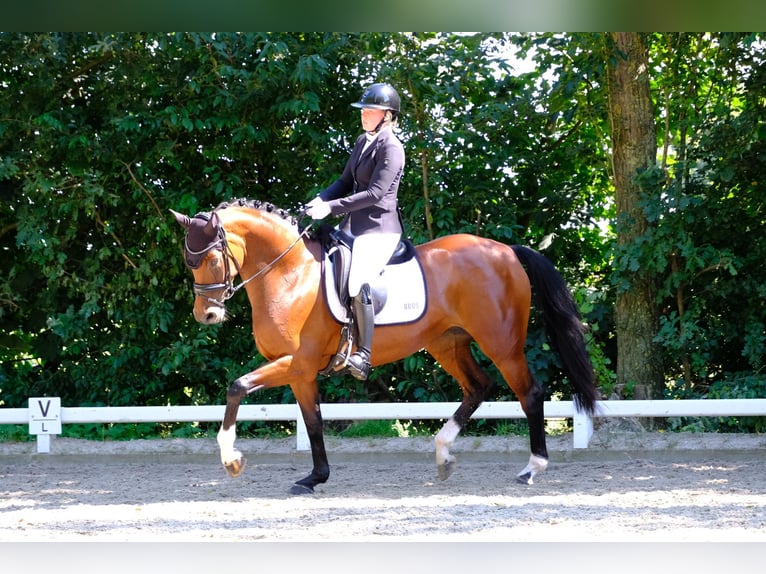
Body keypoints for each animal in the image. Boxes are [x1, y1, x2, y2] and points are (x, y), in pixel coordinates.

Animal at [171, 198, 604, 496]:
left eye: (211, 258)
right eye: (188, 260)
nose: (207, 315)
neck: (290, 274)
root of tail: (505, 250)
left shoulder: (297, 361)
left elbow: (236, 387)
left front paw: (232, 460)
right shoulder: (300, 371)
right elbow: (313, 422)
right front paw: (314, 478)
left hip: (501, 342)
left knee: (529, 394)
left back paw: (532, 468)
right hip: (447, 343)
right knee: (478, 387)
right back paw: (443, 454)